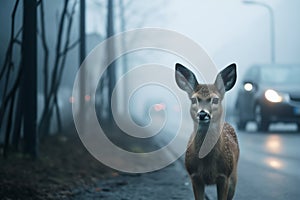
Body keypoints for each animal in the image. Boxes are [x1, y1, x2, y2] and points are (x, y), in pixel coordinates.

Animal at [175, 63, 238, 200]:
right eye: (194, 100)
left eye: (215, 100)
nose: (203, 114)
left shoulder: (224, 176)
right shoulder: (194, 176)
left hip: (234, 175)